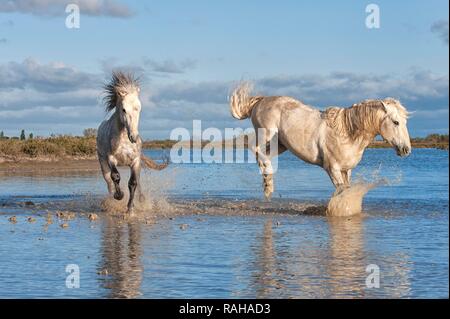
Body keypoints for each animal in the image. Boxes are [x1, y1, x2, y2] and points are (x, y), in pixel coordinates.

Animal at [97, 72, 168, 216]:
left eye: (139, 108)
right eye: (124, 109)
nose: (134, 137)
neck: (124, 140)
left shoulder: (135, 161)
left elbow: (133, 183)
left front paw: (130, 208)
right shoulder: (111, 159)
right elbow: (115, 176)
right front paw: (119, 196)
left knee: (138, 182)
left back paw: (141, 199)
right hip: (102, 162)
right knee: (108, 181)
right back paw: (111, 199)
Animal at [230, 84, 410, 201]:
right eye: (396, 122)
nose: (406, 149)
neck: (347, 134)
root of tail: (261, 101)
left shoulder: (347, 170)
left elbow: (347, 190)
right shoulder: (333, 169)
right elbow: (341, 192)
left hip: (280, 144)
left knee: (262, 154)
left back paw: (268, 185)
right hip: (267, 134)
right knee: (254, 147)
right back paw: (267, 177)